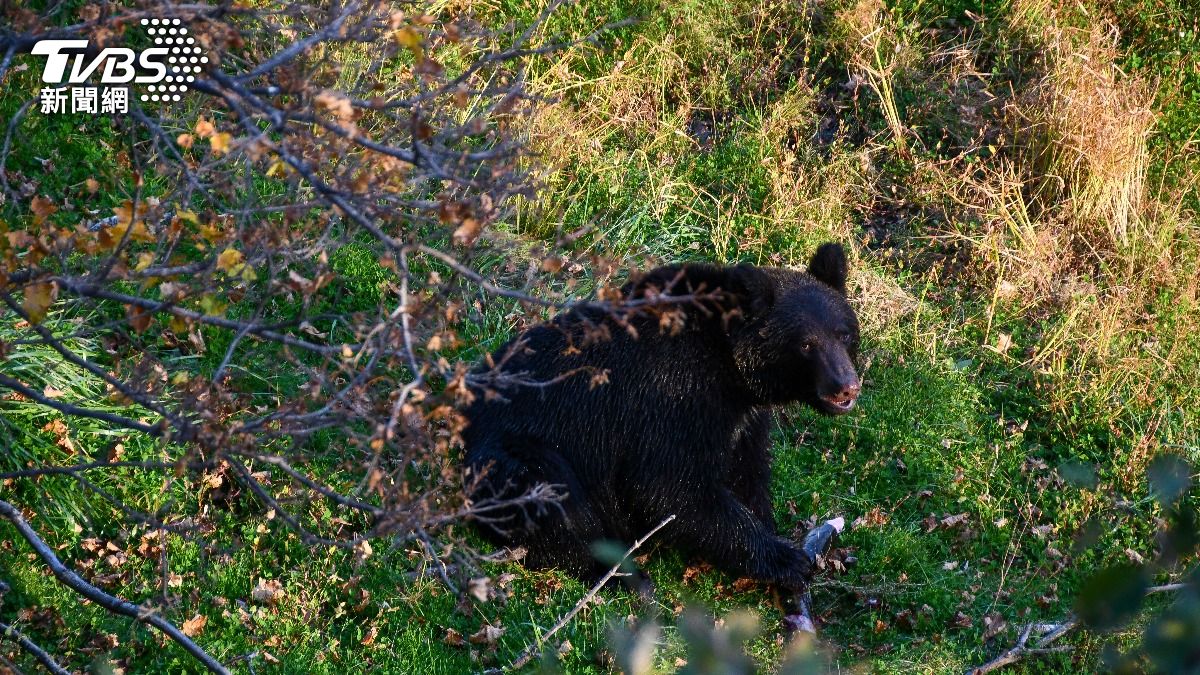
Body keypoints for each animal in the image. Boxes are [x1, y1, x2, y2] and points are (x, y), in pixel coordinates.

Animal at [461, 243, 861, 593]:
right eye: (806, 344)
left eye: (843, 334)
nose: (846, 387)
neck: (730, 371)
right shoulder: (672, 397)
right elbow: (667, 487)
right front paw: (786, 559)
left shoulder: (741, 419)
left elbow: (746, 471)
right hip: (514, 453)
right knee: (552, 497)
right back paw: (620, 574)